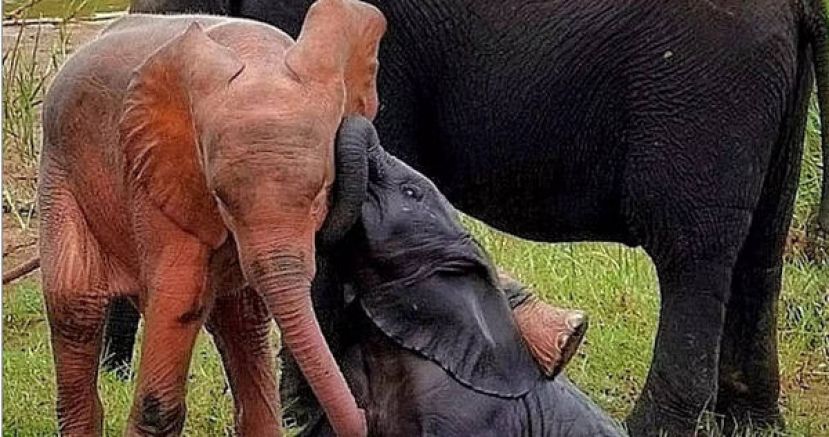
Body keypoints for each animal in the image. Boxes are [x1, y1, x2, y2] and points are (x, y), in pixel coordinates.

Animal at [38, 4, 386, 435]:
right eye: (220, 199)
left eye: (323, 191)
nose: (365, 416)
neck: (258, 57)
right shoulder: (157, 179)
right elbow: (178, 297)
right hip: (60, 173)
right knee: (75, 304)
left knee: (243, 321)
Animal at [128, 0, 829, 434]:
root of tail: (799, 10)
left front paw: (309, 413)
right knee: (759, 251)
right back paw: (751, 422)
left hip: (703, 95)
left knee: (692, 255)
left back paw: (655, 428)